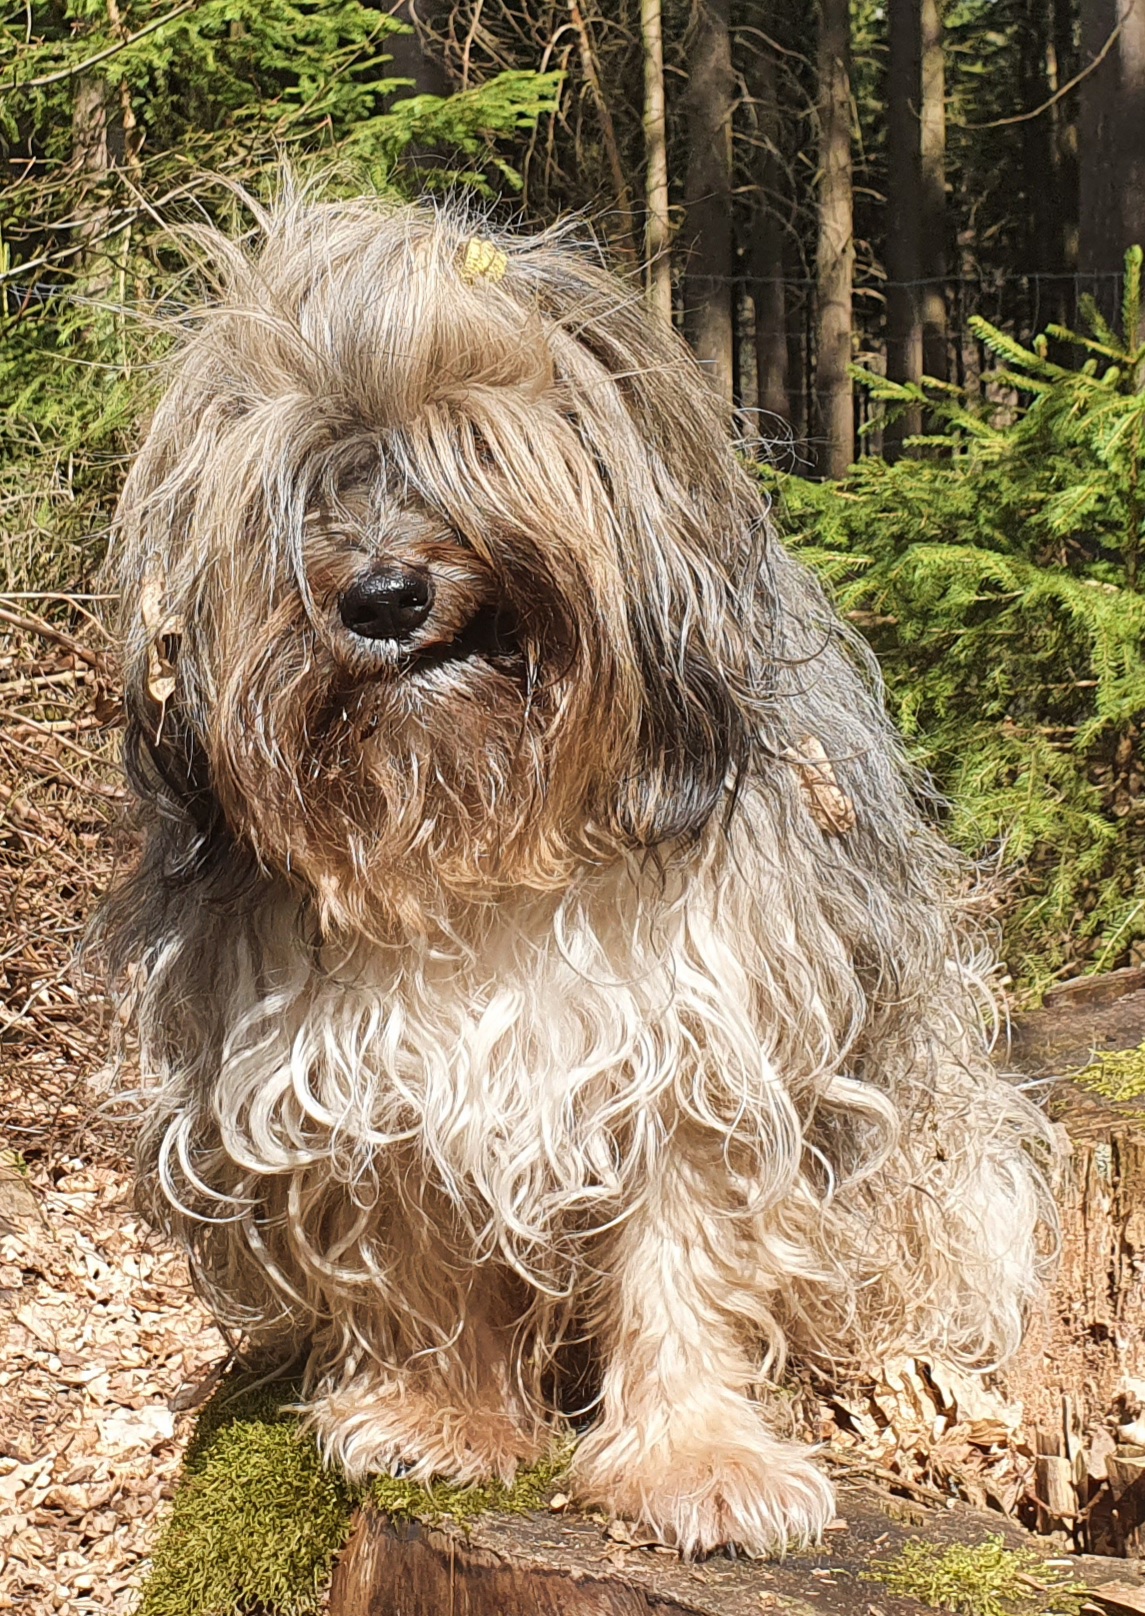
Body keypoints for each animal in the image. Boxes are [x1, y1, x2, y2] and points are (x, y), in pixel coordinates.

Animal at [100, 195, 1052, 1557]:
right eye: (304, 487)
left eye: (472, 445)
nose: (383, 595)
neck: (487, 842)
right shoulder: (364, 1068)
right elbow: (419, 1252)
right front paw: (442, 1418)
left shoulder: (697, 1040)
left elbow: (683, 1253)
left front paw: (698, 1459)